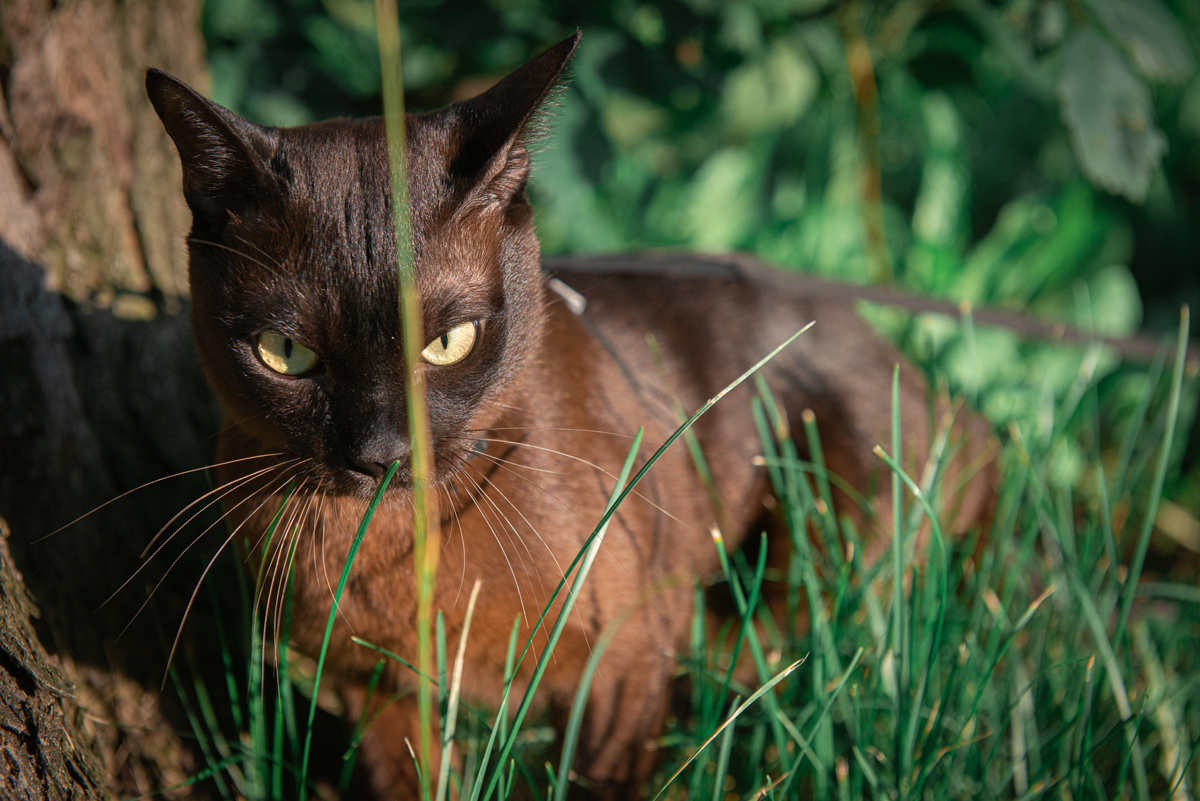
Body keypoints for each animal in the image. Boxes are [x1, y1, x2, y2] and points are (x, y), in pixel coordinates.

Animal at [147, 32, 993, 801]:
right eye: (286, 353)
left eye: (449, 342)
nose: (380, 453)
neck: (392, 549)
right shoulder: (379, 692)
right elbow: (413, 780)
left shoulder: (621, 663)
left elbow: (597, 775)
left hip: (833, 531)